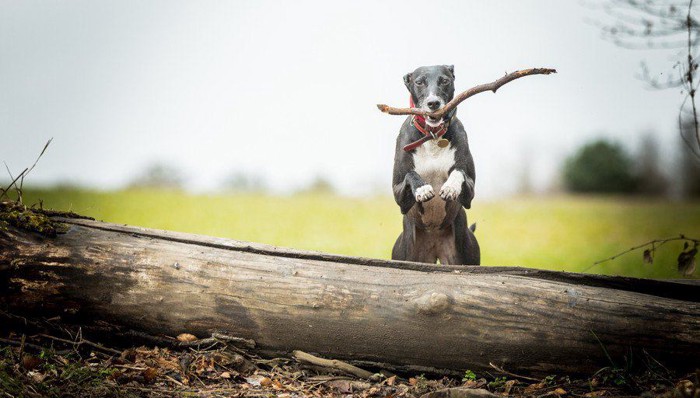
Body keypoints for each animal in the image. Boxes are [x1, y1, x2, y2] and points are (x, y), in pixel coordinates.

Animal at [392, 64, 478, 264]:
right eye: (419, 82)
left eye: (444, 80)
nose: (433, 103)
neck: (432, 136)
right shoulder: (399, 195)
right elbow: (410, 174)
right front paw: (422, 189)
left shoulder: (469, 194)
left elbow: (459, 172)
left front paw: (450, 188)